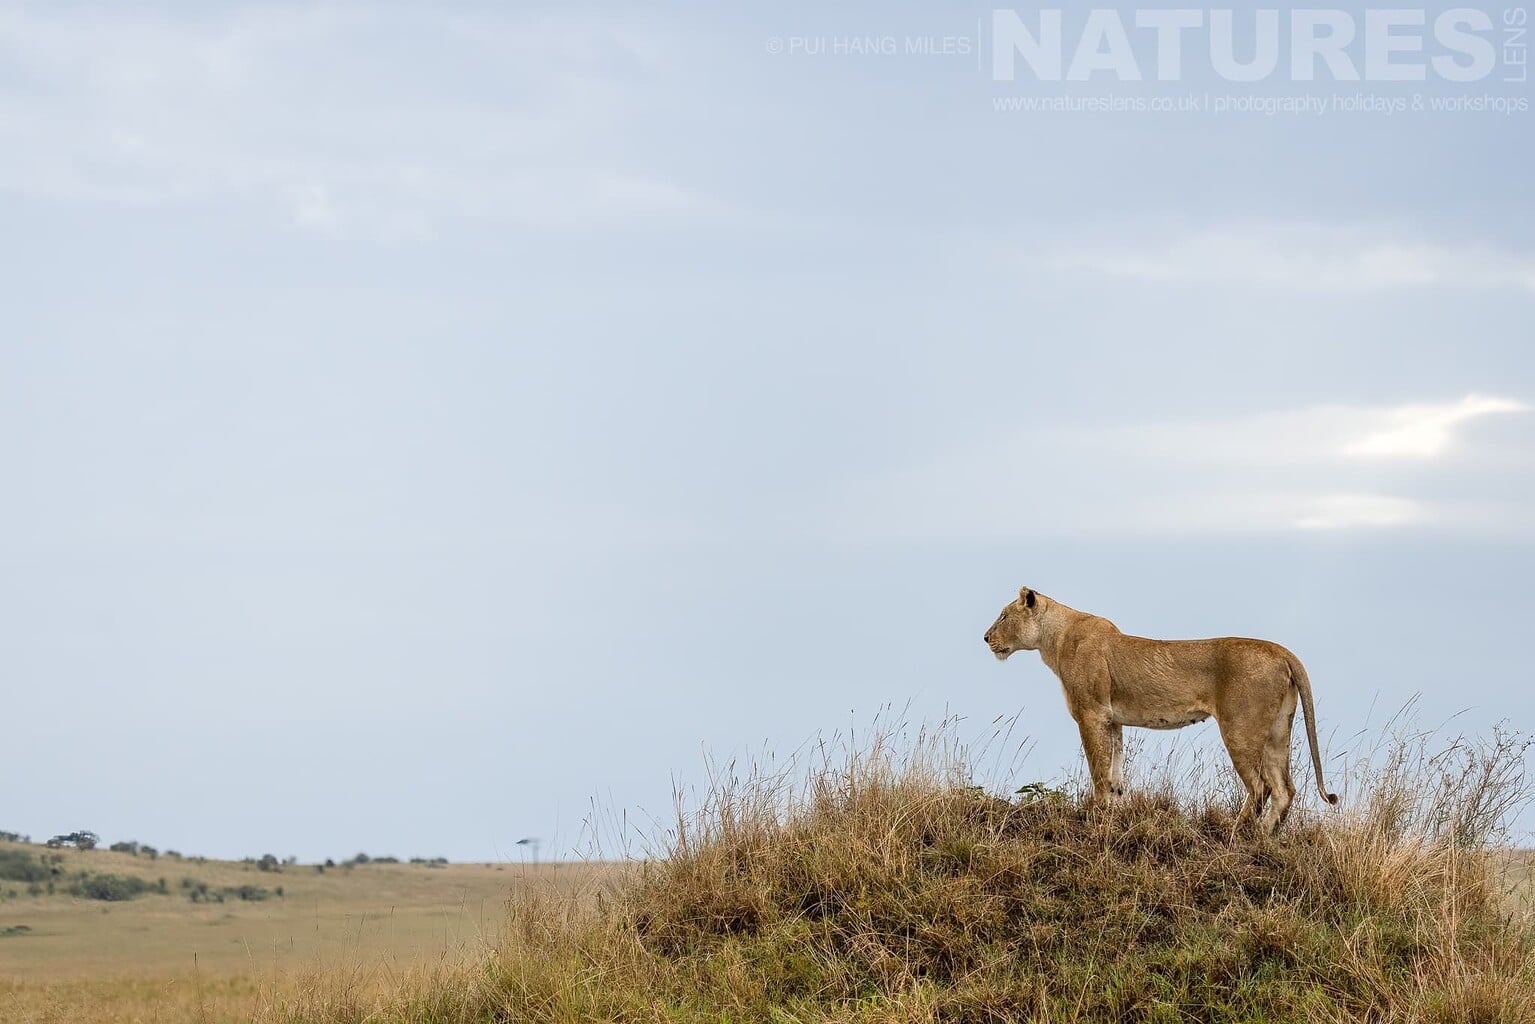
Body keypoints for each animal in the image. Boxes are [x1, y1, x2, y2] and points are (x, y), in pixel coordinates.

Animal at [984, 587, 1337, 833]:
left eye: (1003, 616)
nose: (985, 637)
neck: (1054, 638)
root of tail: (1281, 651)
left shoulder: (1091, 714)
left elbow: (1098, 769)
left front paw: (1095, 815)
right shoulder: (1112, 720)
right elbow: (1115, 771)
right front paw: (1114, 812)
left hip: (1240, 728)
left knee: (1261, 786)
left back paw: (1237, 834)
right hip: (1278, 729)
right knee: (1284, 789)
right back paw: (1265, 836)